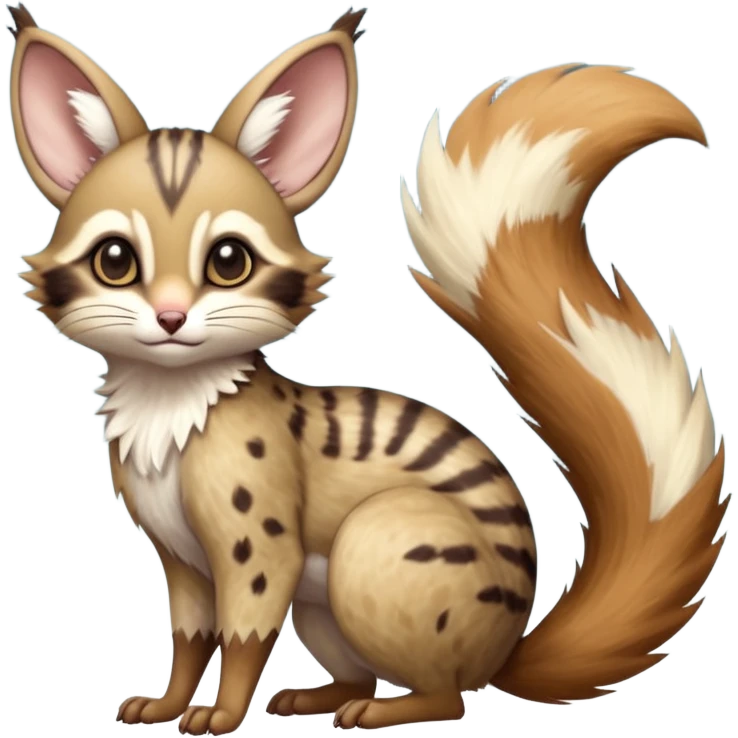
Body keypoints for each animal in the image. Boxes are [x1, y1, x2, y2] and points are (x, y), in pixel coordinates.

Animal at [8, 1, 725, 734]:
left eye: (230, 260)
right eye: (115, 260)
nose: (171, 317)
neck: (173, 404)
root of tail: (503, 653)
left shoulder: (256, 543)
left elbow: (243, 632)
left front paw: (223, 713)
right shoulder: (180, 557)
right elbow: (189, 634)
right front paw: (169, 702)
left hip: (375, 549)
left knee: (447, 695)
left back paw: (381, 709)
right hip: (323, 609)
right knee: (365, 671)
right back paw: (317, 696)